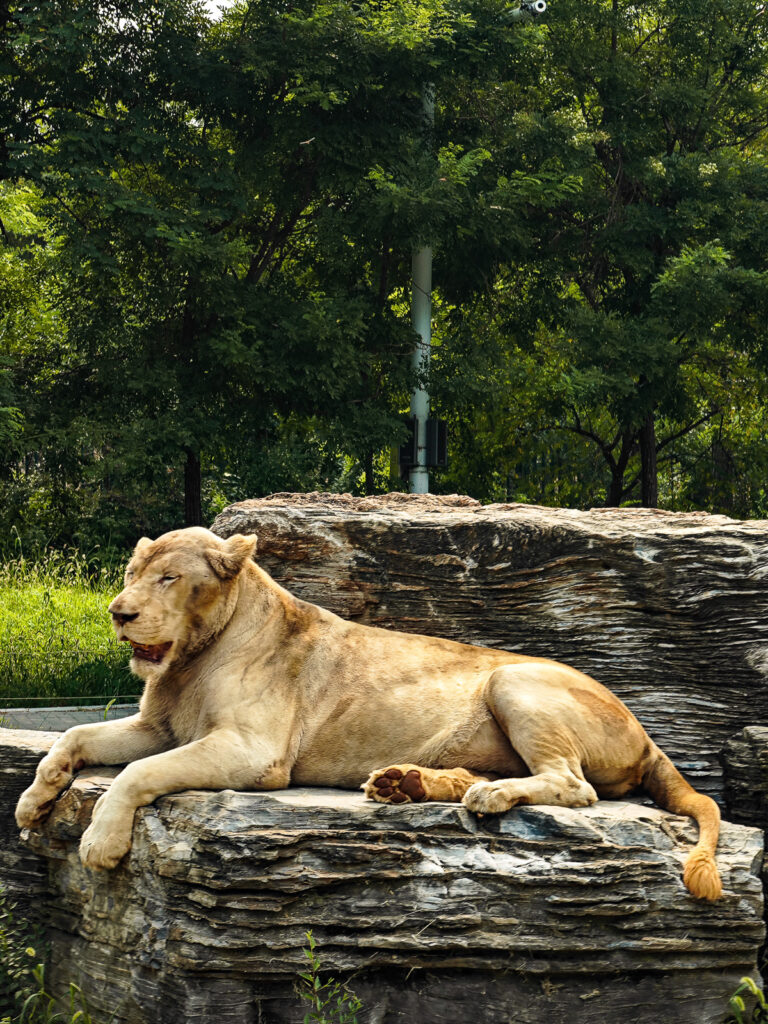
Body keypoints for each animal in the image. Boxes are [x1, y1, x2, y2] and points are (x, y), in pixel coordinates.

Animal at [15, 527, 721, 900]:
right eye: (132, 572)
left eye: (167, 579)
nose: (119, 612)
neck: (190, 659)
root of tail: (648, 736)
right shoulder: (154, 727)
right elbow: (73, 733)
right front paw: (31, 802)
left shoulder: (254, 753)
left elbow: (140, 775)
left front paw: (100, 842)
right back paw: (402, 784)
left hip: (513, 677)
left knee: (575, 786)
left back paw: (488, 797)